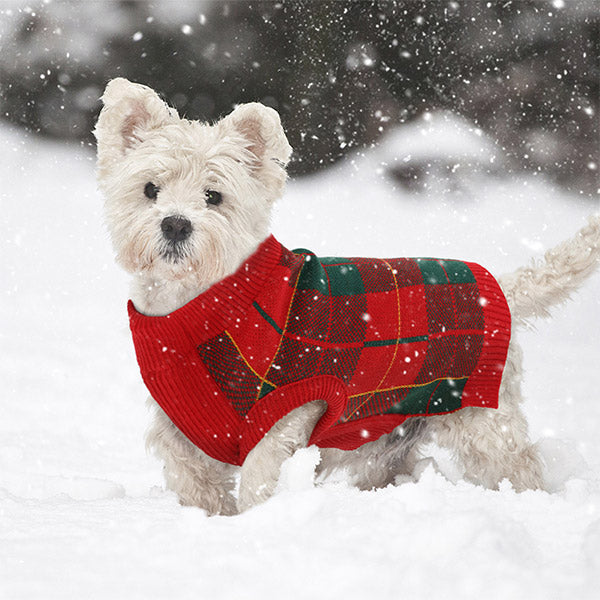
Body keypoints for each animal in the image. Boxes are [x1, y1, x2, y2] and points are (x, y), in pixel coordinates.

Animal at [95, 77, 600, 512]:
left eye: (214, 196)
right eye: (150, 189)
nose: (175, 224)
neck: (200, 304)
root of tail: (498, 287)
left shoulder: (282, 415)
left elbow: (260, 478)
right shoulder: (180, 432)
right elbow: (197, 488)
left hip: (482, 421)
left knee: (518, 467)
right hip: (387, 433)